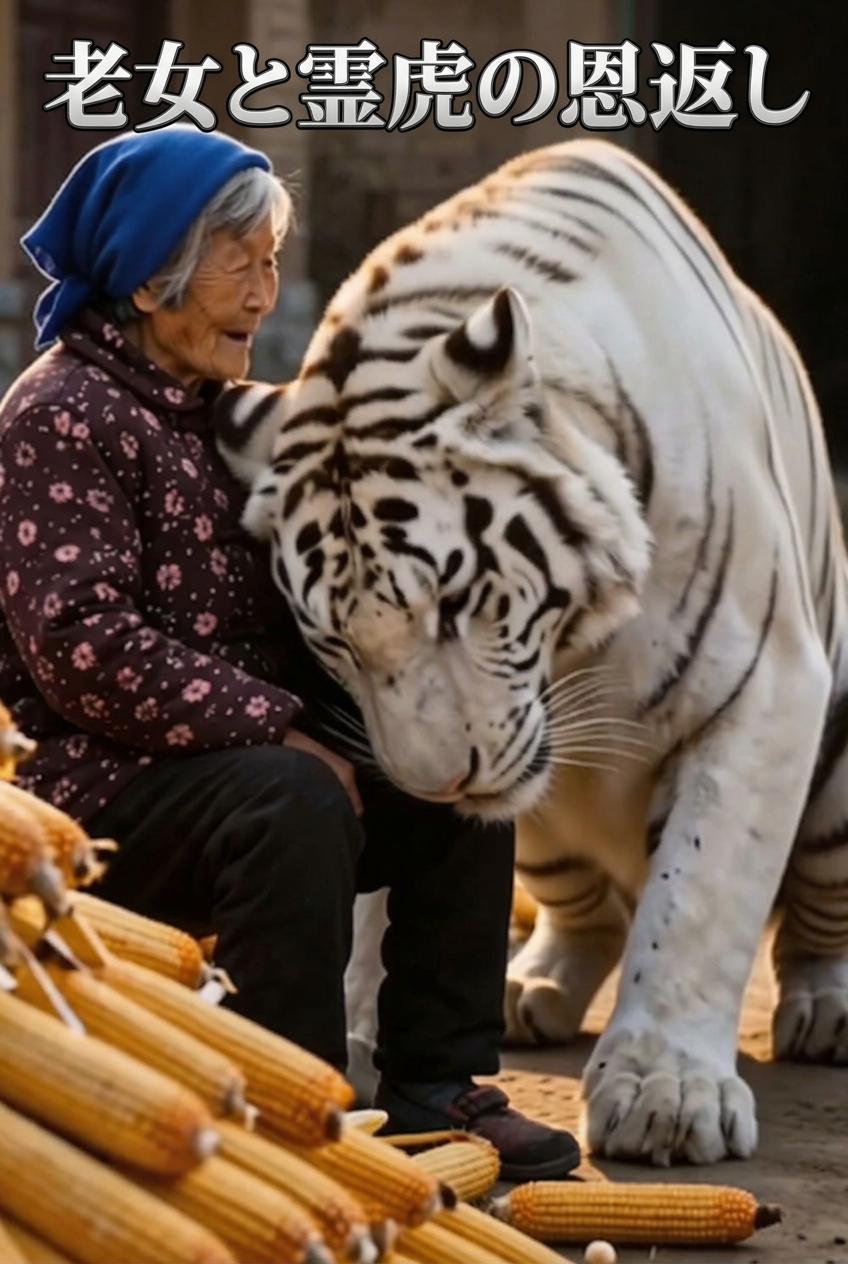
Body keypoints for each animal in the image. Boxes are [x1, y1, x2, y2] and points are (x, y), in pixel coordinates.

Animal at [214, 138, 848, 1166]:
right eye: (335, 641)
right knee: (594, 912)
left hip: (836, 783)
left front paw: (665, 1093)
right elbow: (376, 907)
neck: (576, 647)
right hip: (544, 832)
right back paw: (528, 990)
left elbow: (700, 895)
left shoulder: (766, 683)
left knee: (811, 917)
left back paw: (827, 1011)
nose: (438, 787)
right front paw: (356, 1040)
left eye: (452, 603)